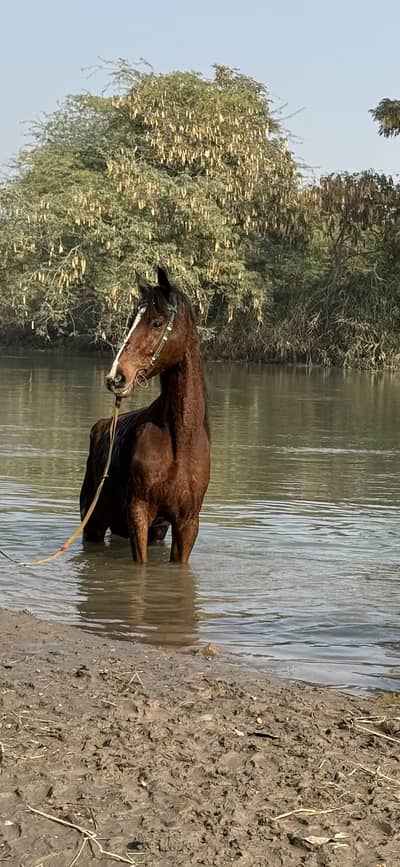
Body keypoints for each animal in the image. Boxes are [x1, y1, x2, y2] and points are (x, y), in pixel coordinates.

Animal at [79, 266, 210, 564]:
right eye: (132, 321)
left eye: (157, 323)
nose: (117, 377)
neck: (180, 440)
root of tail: (100, 427)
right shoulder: (138, 513)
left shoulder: (187, 523)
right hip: (92, 524)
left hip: (156, 532)